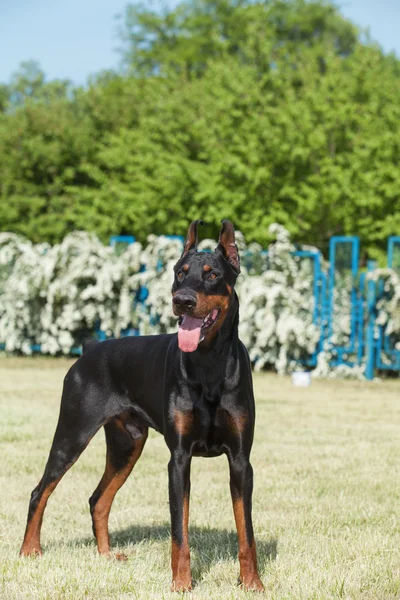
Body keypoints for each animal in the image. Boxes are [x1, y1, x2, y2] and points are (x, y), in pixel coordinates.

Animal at [21, 219, 266, 592]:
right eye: (180, 273)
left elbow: (246, 532)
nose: (182, 300)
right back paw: (29, 551)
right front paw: (181, 584)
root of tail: (89, 349)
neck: (208, 362)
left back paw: (106, 556)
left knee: (98, 499)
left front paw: (252, 583)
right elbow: (179, 531)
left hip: (127, 445)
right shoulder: (179, 459)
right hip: (73, 433)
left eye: (211, 274)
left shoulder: (240, 460)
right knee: (40, 491)